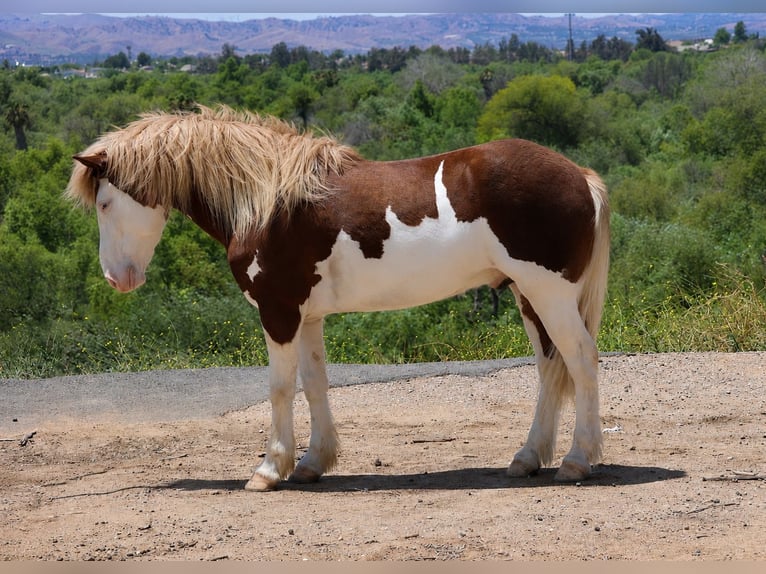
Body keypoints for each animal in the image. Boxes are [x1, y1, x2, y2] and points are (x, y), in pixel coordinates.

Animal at [67, 105, 610, 491]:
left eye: (105, 202)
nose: (117, 278)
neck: (266, 202)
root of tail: (580, 175)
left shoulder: (279, 313)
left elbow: (280, 389)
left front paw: (269, 469)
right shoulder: (307, 317)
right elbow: (314, 384)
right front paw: (312, 463)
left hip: (549, 293)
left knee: (581, 360)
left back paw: (577, 461)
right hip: (528, 296)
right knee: (550, 368)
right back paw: (527, 459)